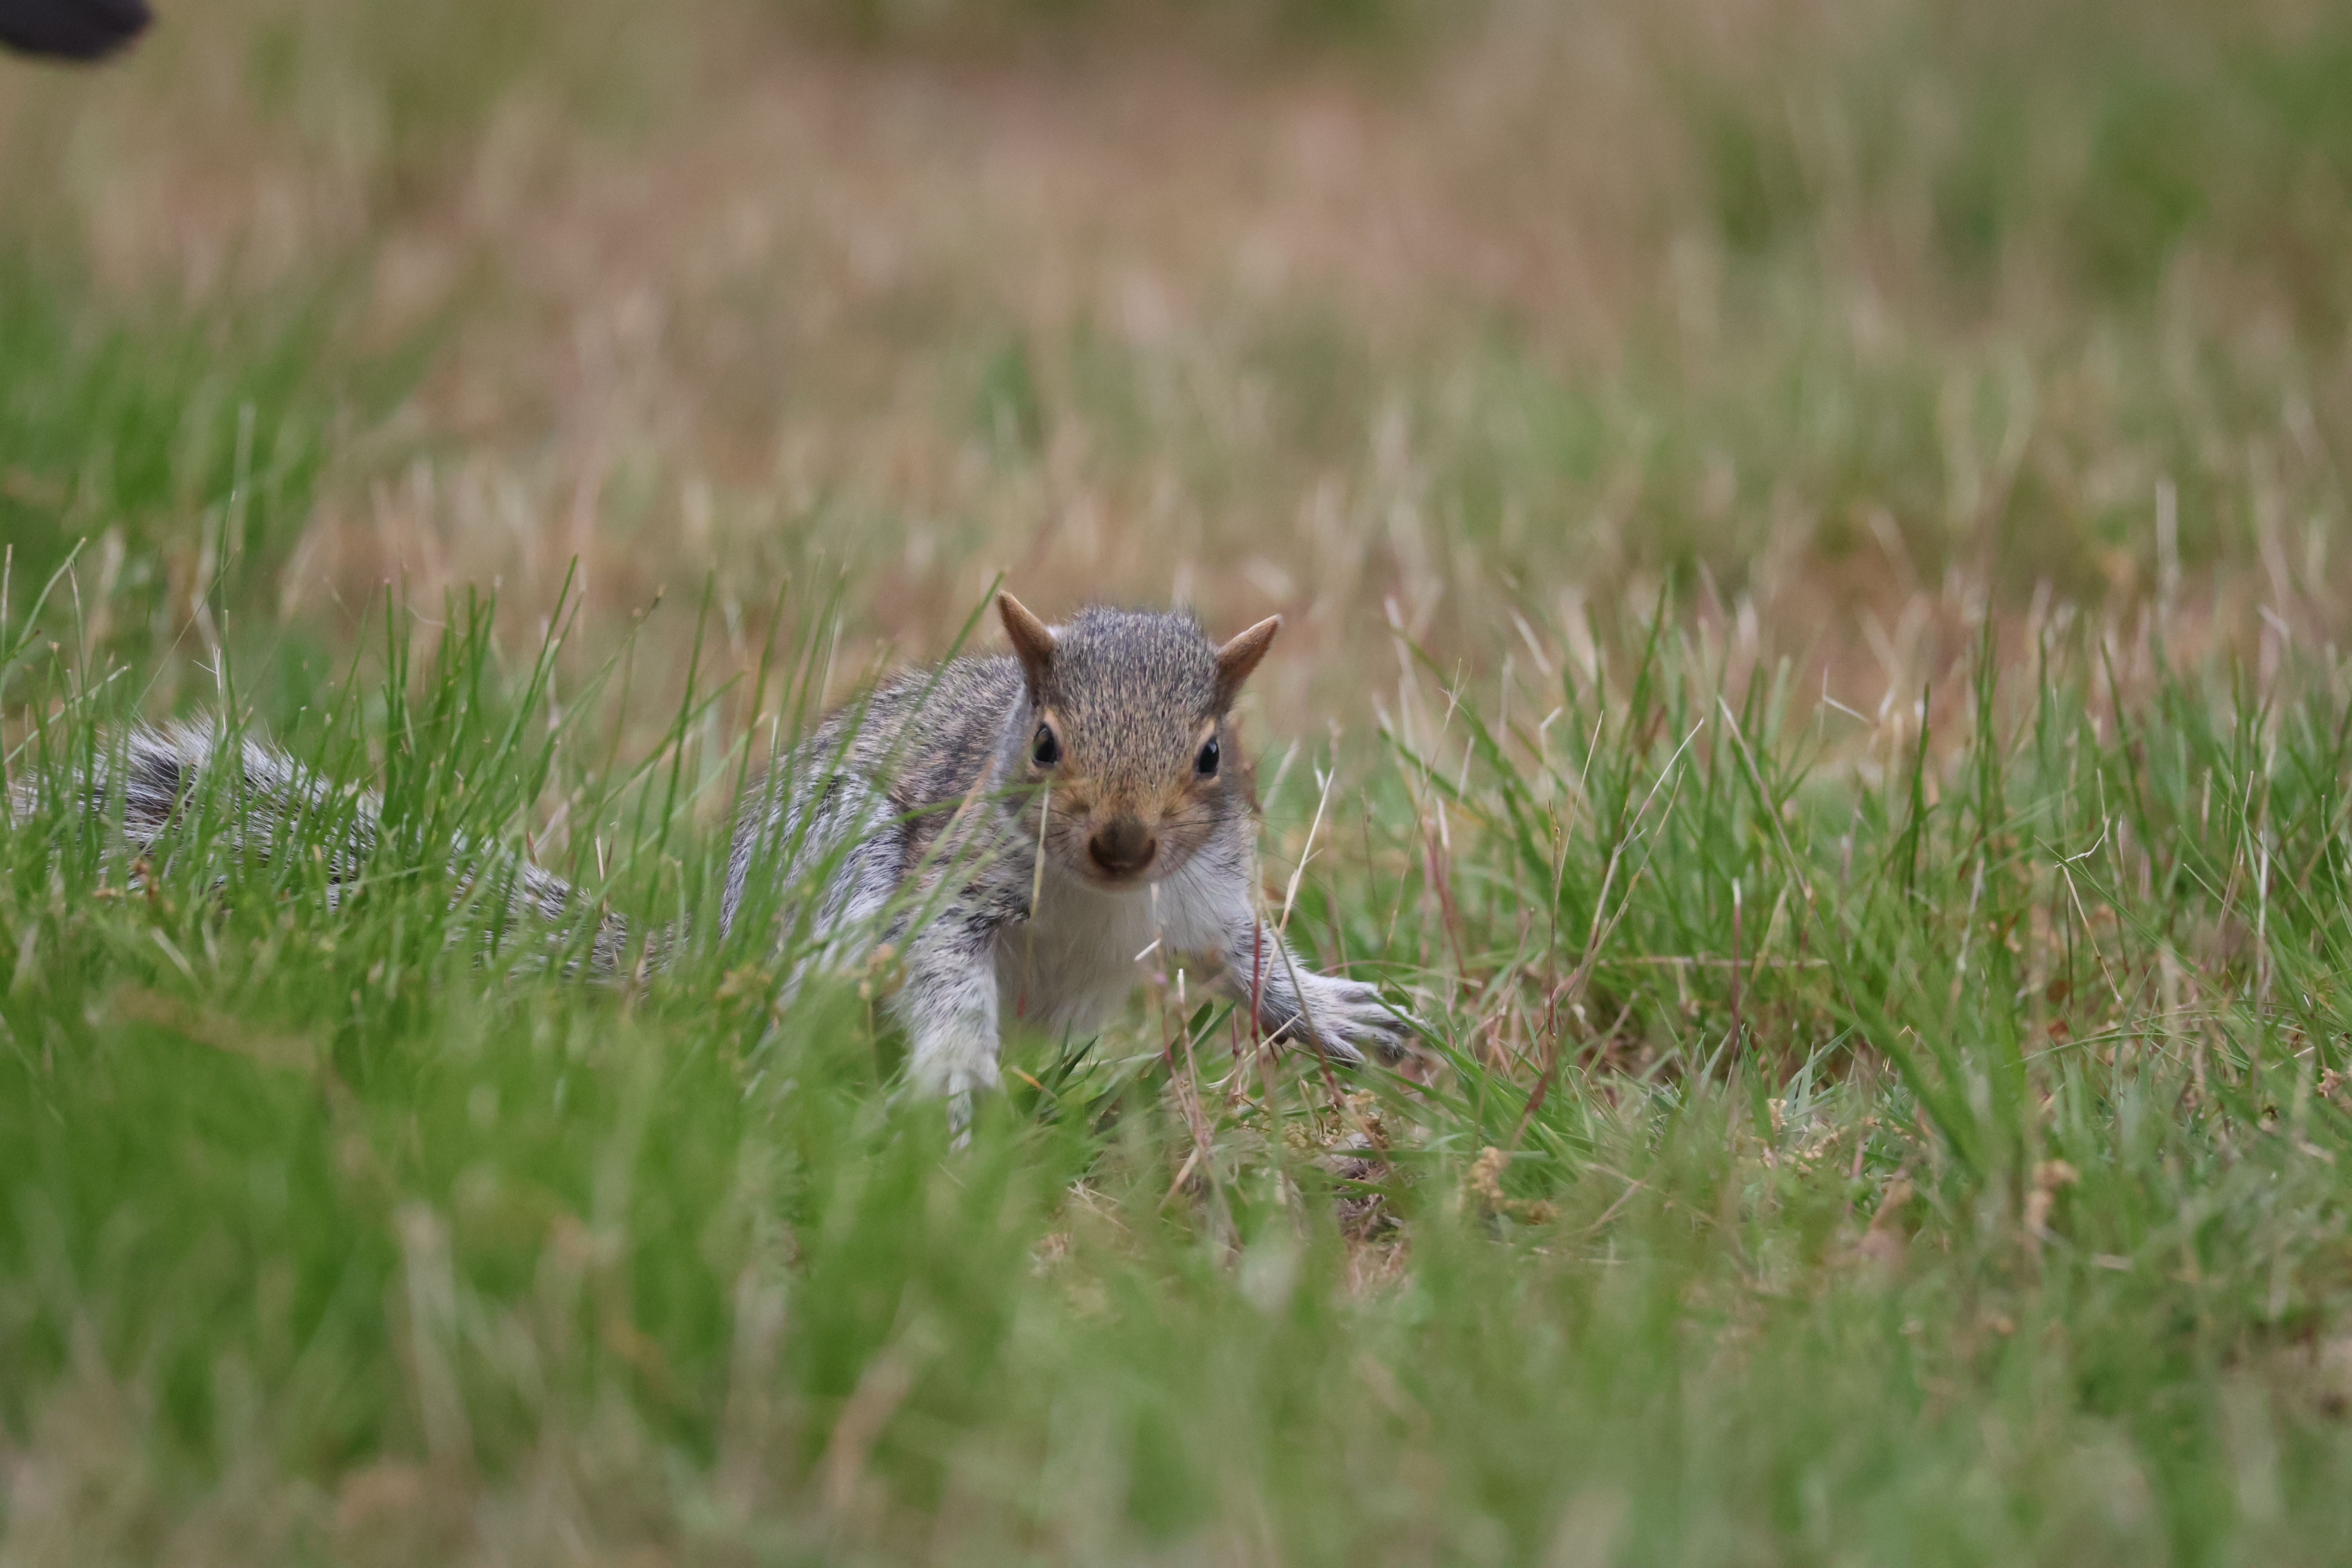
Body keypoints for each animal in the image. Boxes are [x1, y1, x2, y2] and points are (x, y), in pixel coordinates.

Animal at [18, 593, 1413, 1122]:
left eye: (1211, 755)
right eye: (1045, 742)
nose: (1121, 843)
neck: (1093, 900)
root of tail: (714, 955)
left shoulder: (1204, 889)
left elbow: (1244, 956)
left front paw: (1328, 1011)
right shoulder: (944, 887)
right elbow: (940, 978)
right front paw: (954, 1072)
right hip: (833, 885)